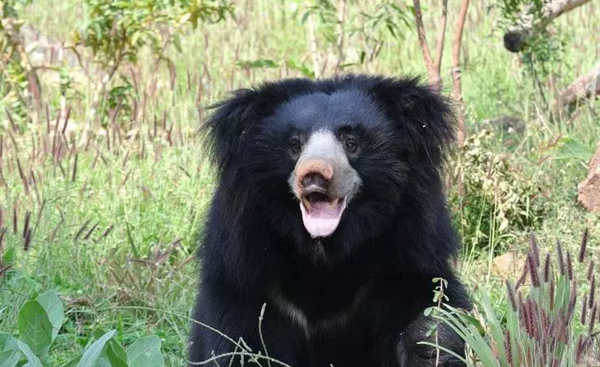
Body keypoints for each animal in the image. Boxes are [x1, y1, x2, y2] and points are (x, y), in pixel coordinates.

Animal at [190, 75, 472, 367]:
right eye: (295, 145)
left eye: (351, 143)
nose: (314, 174)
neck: (325, 254)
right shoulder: (244, 272)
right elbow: (236, 340)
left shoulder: (407, 252)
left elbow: (429, 304)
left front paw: (431, 344)